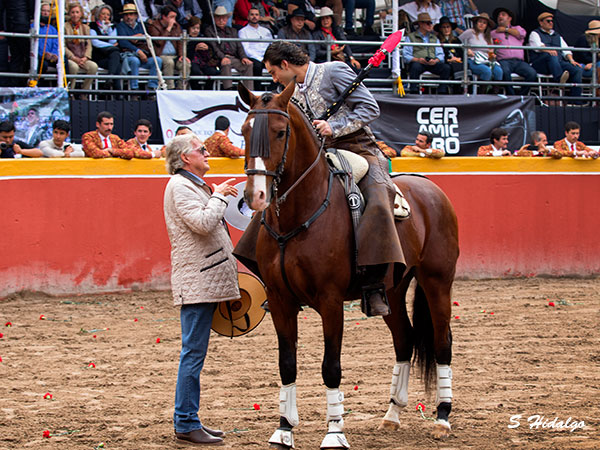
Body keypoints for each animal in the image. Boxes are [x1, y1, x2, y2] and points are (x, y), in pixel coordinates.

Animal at [237, 81, 458, 450]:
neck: (301, 212)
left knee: (442, 341)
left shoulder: (330, 302)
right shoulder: (281, 302)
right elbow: (287, 364)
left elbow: (331, 367)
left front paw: (334, 432)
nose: (256, 196)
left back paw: (442, 418)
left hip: (437, 281)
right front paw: (284, 429)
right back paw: (391, 415)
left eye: (280, 131)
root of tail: (431, 189)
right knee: (405, 340)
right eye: (244, 131)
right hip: (391, 292)